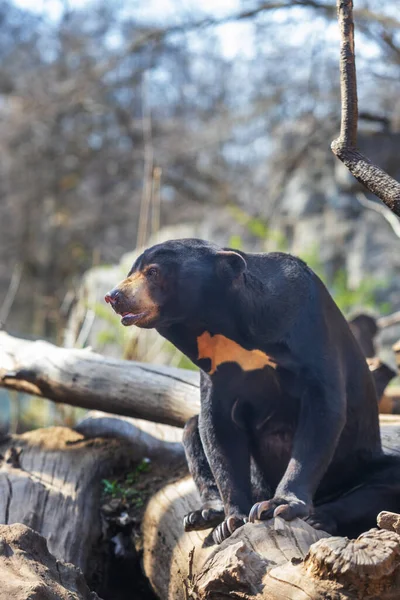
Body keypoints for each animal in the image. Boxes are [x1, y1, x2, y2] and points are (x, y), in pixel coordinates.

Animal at [105, 238, 400, 544]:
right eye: (131, 271)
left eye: (153, 272)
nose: (114, 296)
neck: (222, 329)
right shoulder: (216, 371)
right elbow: (217, 430)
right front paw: (232, 521)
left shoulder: (310, 329)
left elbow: (323, 410)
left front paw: (279, 505)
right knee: (192, 428)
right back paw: (204, 515)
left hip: (358, 462)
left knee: (385, 482)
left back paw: (318, 516)